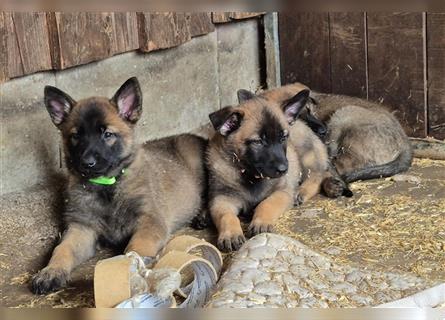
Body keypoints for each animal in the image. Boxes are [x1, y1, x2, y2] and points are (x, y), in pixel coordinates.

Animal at [206, 89, 330, 251]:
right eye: (258, 142)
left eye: (283, 138)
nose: (284, 169)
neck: (251, 176)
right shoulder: (221, 198)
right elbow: (225, 216)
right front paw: (231, 234)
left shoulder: (282, 192)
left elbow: (267, 203)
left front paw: (261, 221)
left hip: (305, 154)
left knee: (317, 174)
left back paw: (301, 191)